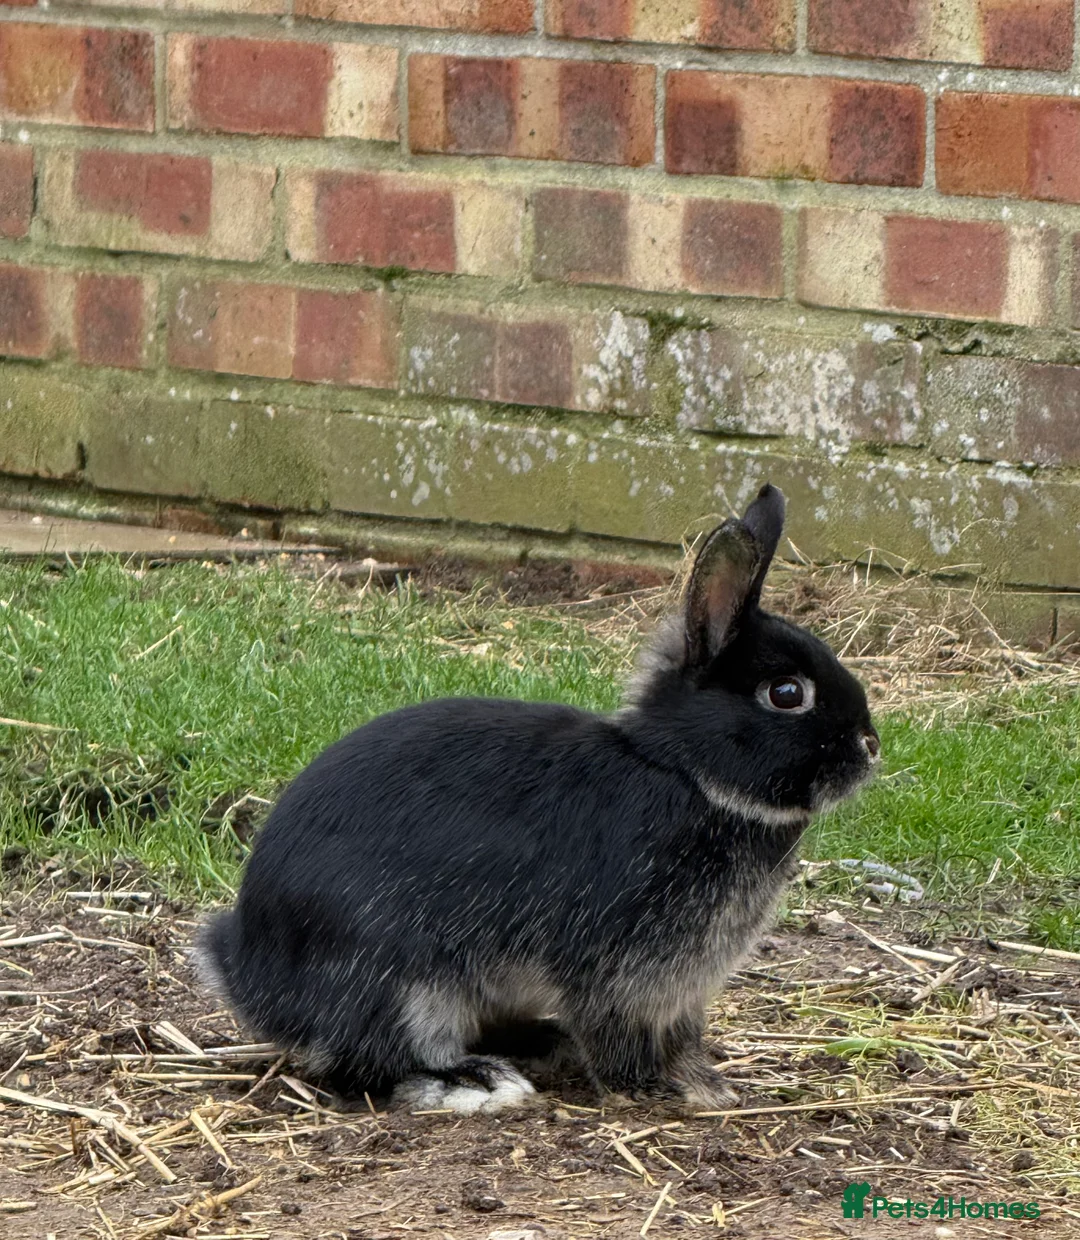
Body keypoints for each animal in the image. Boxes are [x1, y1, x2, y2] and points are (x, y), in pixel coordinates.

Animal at [197, 483, 879, 1114]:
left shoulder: (683, 988)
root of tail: (248, 972)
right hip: (399, 982)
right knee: (370, 1062)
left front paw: (704, 1083)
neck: (685, 772)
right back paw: (474, 1081)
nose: (871, 747)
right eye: (786, 694)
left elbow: (683, 1036)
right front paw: (653, 1091)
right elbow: (620, 1036)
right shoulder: (623, 971)